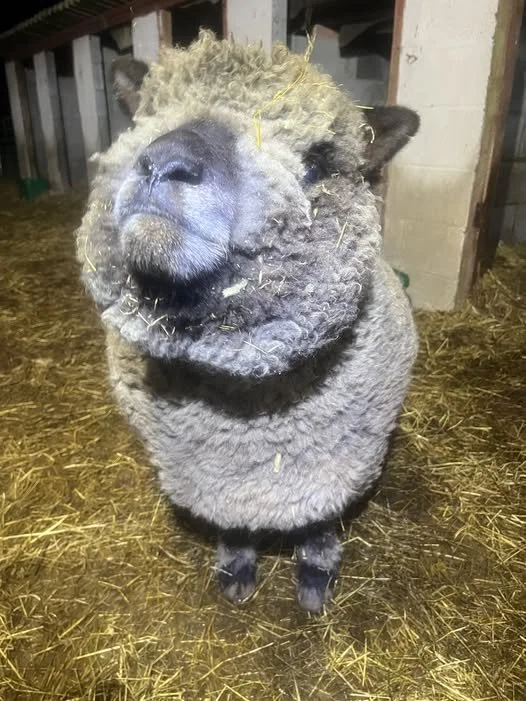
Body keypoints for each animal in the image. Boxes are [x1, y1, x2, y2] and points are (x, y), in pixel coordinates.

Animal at [75, 30, 420, 613]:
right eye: (146, 116)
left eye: (316, 162)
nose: (164, 161)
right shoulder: (215, 481)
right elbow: (232, 524)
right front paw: (235, 567)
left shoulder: (336, 466)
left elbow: (321, 519)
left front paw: (316, 574)